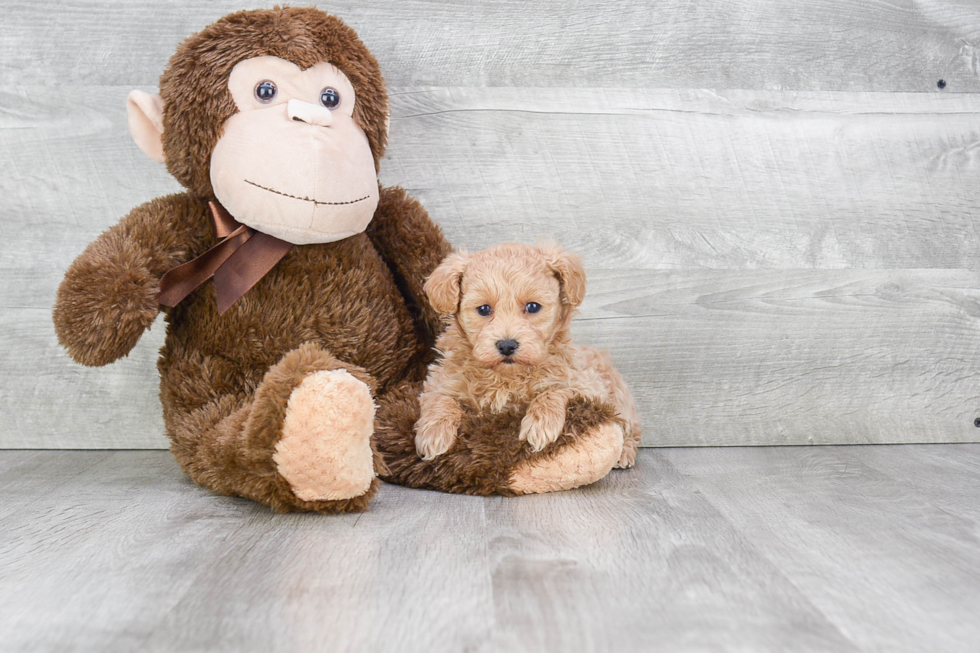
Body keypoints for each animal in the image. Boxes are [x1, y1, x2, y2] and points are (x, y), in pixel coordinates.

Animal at [414, 242, 644, 466]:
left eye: (533, 307)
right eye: (484, 309)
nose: (507, 345)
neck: (506, 376)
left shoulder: (588, 384)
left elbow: (557, 389)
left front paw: (541, 424)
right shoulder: (440, 380)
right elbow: (440, 399)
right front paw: (434, 435)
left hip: (619, 396)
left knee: (630, 428)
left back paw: (625, 453)